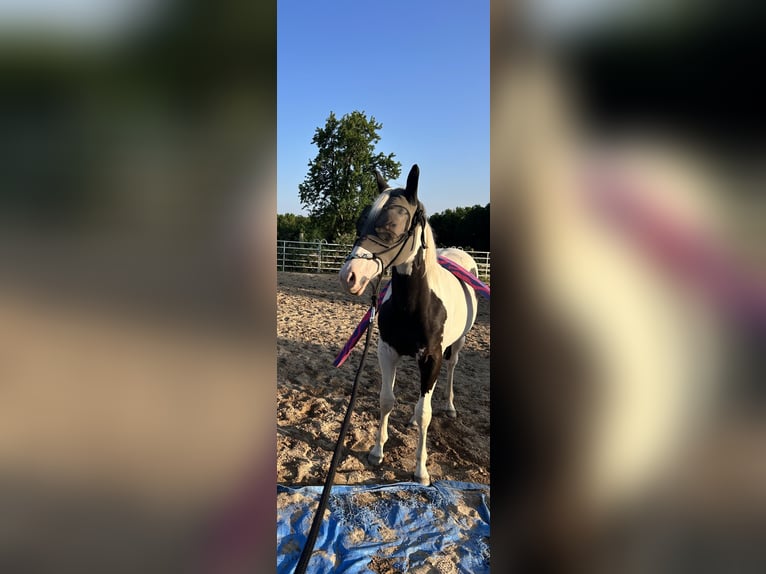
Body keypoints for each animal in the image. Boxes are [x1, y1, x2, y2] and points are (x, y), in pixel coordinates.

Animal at [338, 164, 481, 485]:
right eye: (361, 222)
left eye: (391, 225)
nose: (349, 276)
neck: (415, 304)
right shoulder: (387, 351)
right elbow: (386, 400)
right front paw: (377, 451)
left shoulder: (431, 358)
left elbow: (426, 412)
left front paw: (420, 470)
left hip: (456, 345)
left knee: (450, 371)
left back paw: (449, 406)